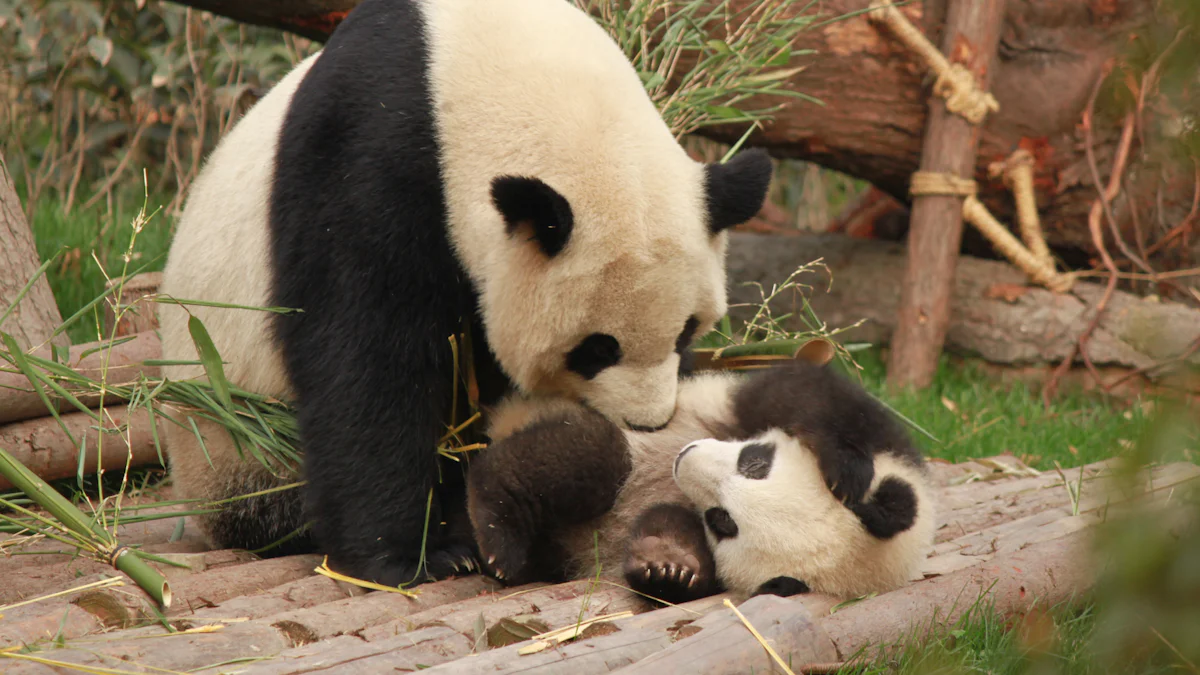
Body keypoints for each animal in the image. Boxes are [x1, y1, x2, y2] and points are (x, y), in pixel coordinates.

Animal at [157, 0, 768, 586]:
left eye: (686, 332)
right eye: (597, 348)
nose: (646, 423)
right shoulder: (367, 155)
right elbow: (366, 358)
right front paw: (406, 559)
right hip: (235, 438)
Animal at [468, 360, 936, 600]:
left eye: (722, 520)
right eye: (755, 462)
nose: (685, 458)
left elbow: (675, 535)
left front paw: (668, 566)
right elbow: (807, 392)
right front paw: (845, 468)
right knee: (591, 457)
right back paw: (497, 531)